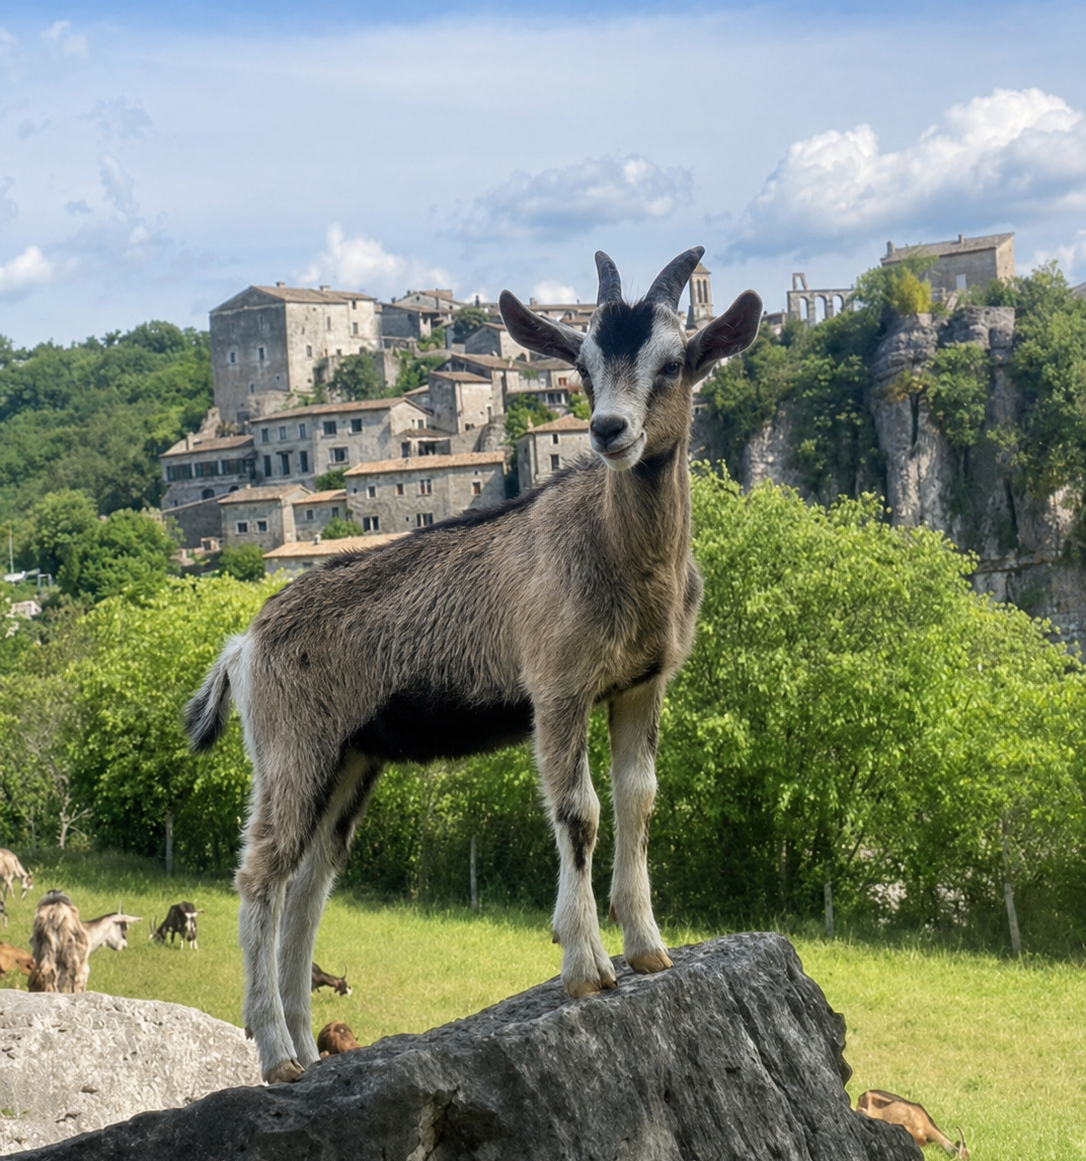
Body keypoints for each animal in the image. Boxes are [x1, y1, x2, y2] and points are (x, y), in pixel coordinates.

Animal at [186, 247, 762, 1083]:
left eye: (674, 361)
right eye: (582, 365)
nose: (609, 429)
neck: (616, 548)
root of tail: (245, 641)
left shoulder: (640, 686)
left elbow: (640, 800)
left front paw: (650, 948)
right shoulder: (558, 688)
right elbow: (581, 810)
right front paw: (586, 965)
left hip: (349, 759)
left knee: (310, 883)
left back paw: (308, 1047)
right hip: (293, 749)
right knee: (260, 874)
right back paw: (276, 1054)